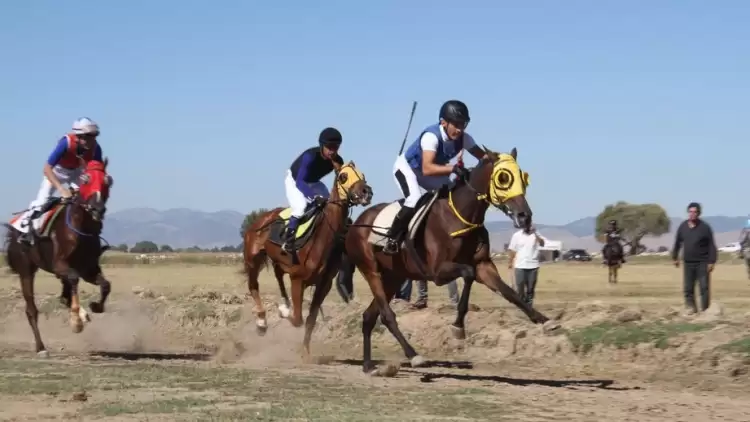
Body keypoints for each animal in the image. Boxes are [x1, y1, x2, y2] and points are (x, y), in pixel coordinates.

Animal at [3, 158, 114, 356]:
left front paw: (94, 307)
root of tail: (14, 232)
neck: (81, 229)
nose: (97, 209)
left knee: (65, 294)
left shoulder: (88, 268)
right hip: (26, 270)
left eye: (108, 181)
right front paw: (76, 321)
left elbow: (105, 285)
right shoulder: (59, 265)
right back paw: (41, 348)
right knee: (31, 309)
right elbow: (74, 278)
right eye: (85, 179)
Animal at [244, 162, 374, 356]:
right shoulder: (297, 279)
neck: (321, 237)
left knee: (277, 275)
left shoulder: (323, 284)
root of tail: (260, 219)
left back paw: (283, 304)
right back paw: (262, 322)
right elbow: (298, 319)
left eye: (363, 175)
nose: (367, 191)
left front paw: (305, 353)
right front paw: (283, 312)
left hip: (279, 262)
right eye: (343, 176)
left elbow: (310, 320)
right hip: (253, 259)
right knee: (253, 285)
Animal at [346, 147, 560, 374]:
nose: (525, 216)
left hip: (393, 277)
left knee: (369, 317)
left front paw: (544, 320)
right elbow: (468, 274)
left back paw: (368, 365)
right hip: (371, 271)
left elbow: (510, 292)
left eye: (522, 177)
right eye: (503, 178)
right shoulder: (438, 272)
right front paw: (458, 326)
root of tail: (355, 224)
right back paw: (414, 355)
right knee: (386, 315)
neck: (461, 215)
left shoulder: (484, 266)